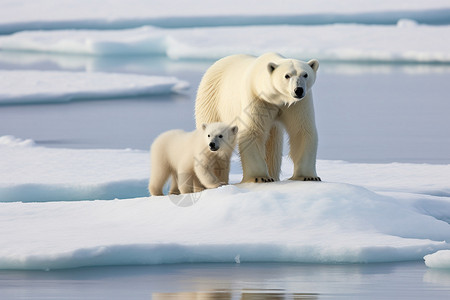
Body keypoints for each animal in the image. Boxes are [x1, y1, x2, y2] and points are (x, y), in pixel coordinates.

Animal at [194, 52, 320, 183]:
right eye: (287, 75)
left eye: (305, 74)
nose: (298, 90)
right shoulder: (256, 98)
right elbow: (252, 131)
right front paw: (260, 177)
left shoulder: (298, 104)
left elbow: (301, 131)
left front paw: (308, 176)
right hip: (212, 101)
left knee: (273, 145)